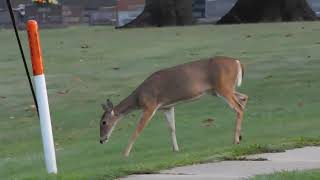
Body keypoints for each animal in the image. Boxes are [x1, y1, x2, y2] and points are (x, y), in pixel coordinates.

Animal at [99, 56, 248, 156]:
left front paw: (125, 153)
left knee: (239, 107)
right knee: (244, 98)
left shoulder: (150, 105)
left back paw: (236, 140)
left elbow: (138, 129)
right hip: (219, 90)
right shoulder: (167, 107)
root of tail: (237, 62)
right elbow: (171, 128)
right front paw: (176, 149)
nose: (101, 140)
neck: (139, 98)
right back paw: (240, 136)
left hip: (223, 87)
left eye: (104, 122)